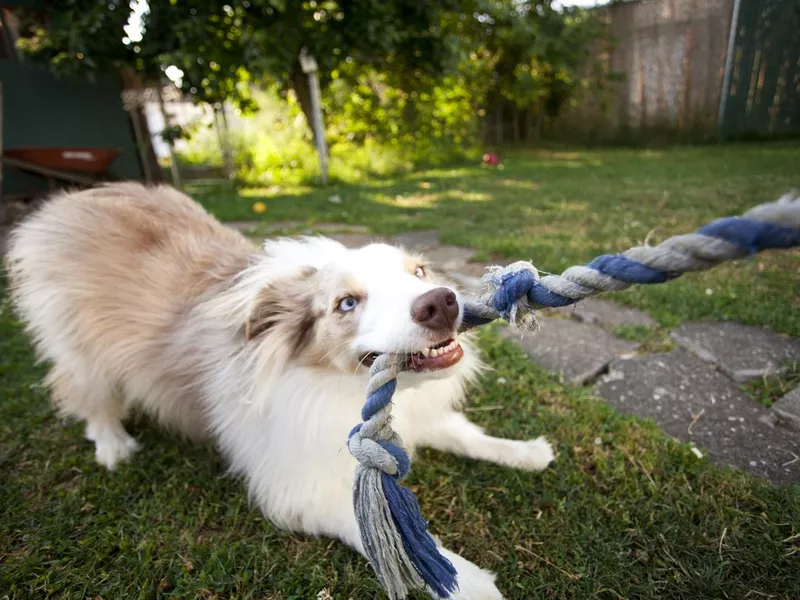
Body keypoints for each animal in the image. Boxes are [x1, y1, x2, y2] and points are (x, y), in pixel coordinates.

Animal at [6, 184, 552, 600]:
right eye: (346, 303)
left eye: (417, 272)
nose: (442, 302)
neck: (337, 385)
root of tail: (71, 198)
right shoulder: (296, 489)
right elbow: (384, 534)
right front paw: (468, 582)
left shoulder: (422, 415)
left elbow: (466, 434)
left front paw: (526, 452)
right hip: (81, 347)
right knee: (83, 391)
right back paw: (112, 444)